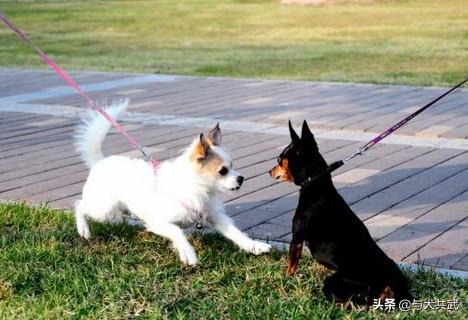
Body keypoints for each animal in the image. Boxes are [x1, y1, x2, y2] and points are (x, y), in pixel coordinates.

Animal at [73, 101, 270, 264]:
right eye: (223, 171)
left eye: (233, 166)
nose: (241, 178)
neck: (198, 190)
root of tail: (101, 161)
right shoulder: (158, 222)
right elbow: (178, 232)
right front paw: (188, 254)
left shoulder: (216, 217)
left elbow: (236, 233)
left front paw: (254, 246)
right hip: (103, 208)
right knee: (79, 205)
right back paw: (83, 230)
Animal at [268, 120, 412, 304]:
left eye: (279, 160)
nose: (269, 171)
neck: (316, 183)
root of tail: (389, 282)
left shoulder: (297, 239)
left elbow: (291, 265)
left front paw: (286, 280)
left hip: (336, 281)